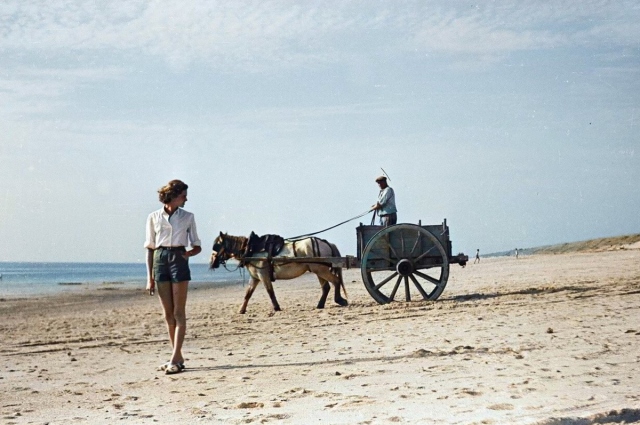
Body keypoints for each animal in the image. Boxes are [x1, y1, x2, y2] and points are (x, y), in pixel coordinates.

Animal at [209, 230, 350, 314]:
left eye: (216, 245)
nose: (211, 263)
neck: (251, 249)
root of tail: (327, 243)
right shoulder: (255, 277)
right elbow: (248, 294)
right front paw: (241, 310)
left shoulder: (263, 275)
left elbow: (270, 292)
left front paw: (276, 307)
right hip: (318, 270)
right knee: (326, 287)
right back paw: (320, 305)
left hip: (320, 269)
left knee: (335, 281)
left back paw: (339, 300)